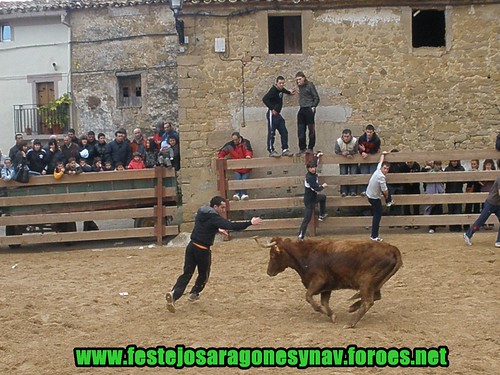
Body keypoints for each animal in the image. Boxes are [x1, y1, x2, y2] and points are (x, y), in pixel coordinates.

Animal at [256, 238, 404, 328]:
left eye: (273, 255)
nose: (269, 272)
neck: (307, 254)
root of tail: (392, 248)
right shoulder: (327, 288)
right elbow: (324, 302)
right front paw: (331, 315)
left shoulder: (319, 281)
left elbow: (309, 297)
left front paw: (323, 311)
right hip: (374, 283)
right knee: (376, 296)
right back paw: (352, 307)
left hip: (366, 281)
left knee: (368, 301)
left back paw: (351, 323)